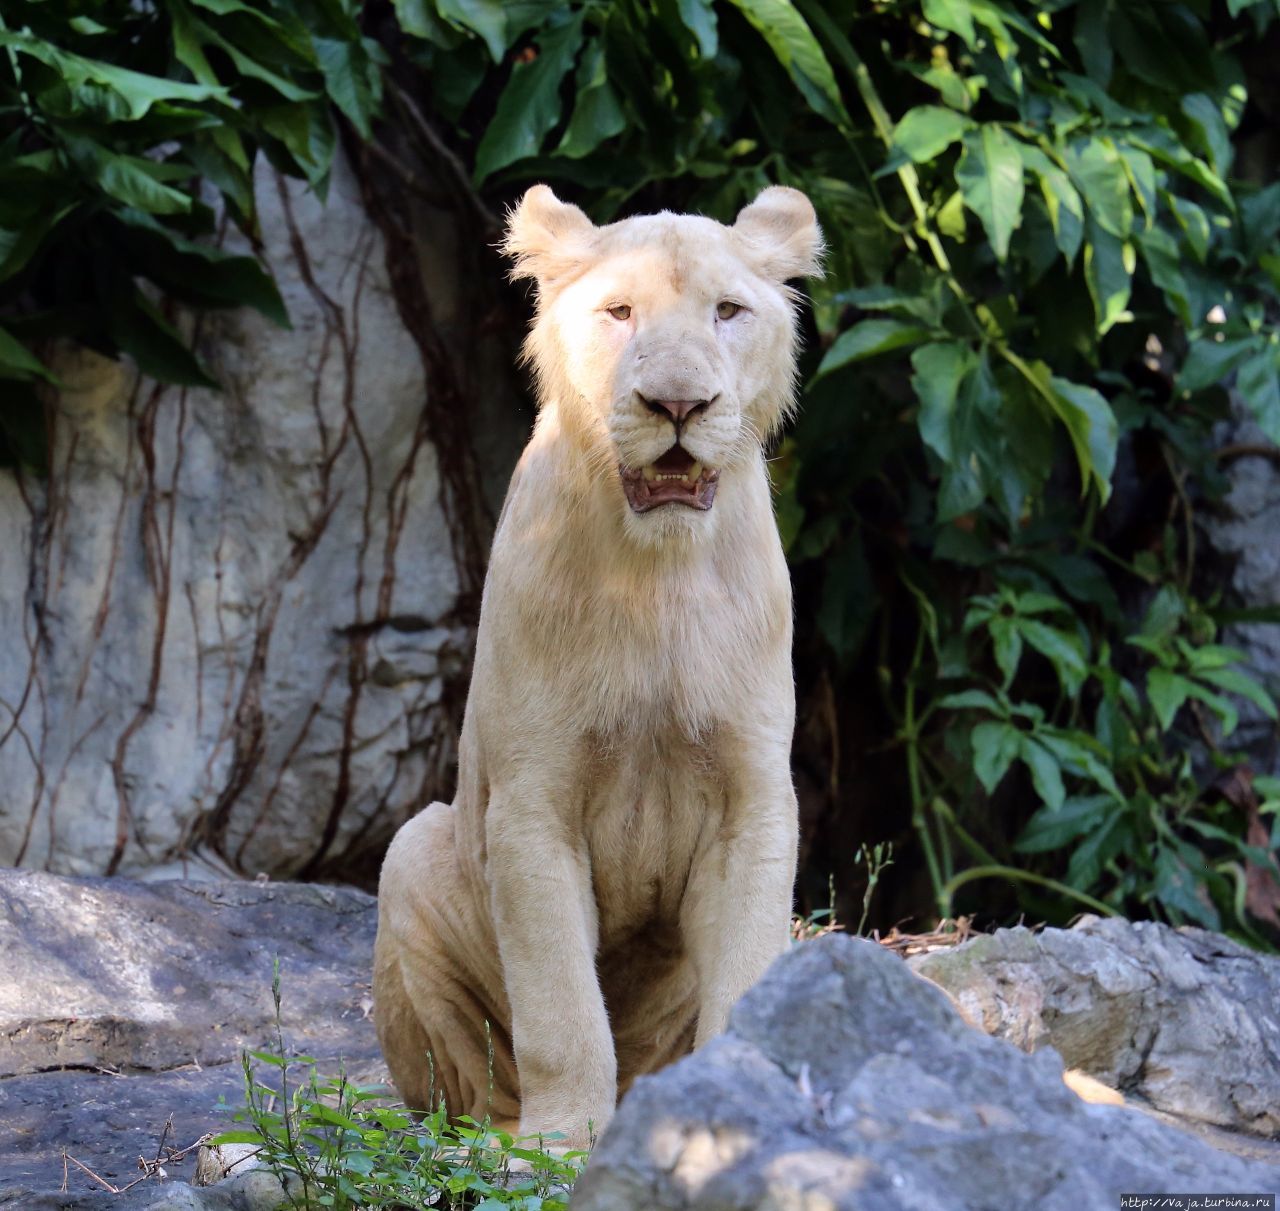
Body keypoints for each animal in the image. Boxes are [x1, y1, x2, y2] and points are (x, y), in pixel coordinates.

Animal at [373, 184, 824, 1146]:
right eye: (619, 314)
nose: (678, 404)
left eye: (728, 312)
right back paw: (501, 1131)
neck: (654, 575)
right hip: (413, 850)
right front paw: (560, 1138)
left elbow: (745, 971)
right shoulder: (530, 805)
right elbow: (559, 1005)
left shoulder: (753, 803)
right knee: (469, 1084)